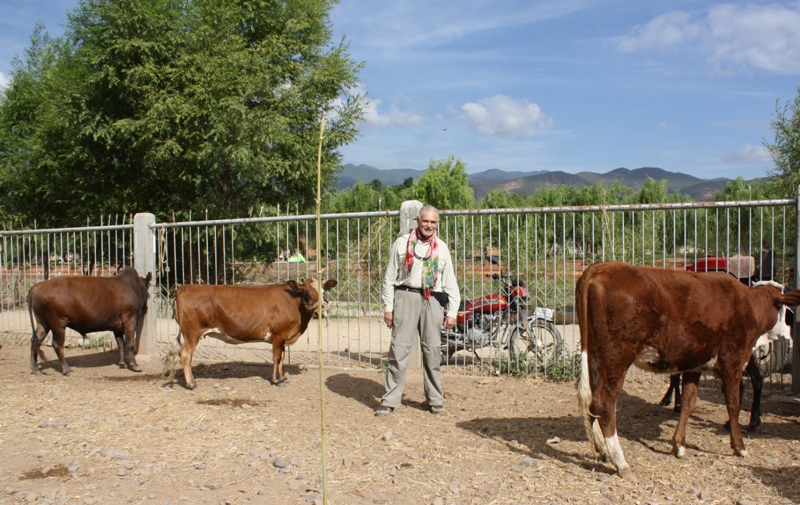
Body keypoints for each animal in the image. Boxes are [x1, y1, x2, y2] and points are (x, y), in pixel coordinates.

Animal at [162, 278, 338, 388]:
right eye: (306, 293)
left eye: (323, 293)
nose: (320, 313)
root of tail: (184, 287)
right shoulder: (278, 335)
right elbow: (277, 358)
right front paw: (277, 380)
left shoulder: (281, 338)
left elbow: (281, 358)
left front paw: (282, 376)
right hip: (192, 332)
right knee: (185, 354)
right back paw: (191, 383)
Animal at [576, 262, 800, 478]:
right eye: (784, 310)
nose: (789, 333)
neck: (749, 305)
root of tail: (599, 268)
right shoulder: (733, 360)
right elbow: (733, 404)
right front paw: (739, 446)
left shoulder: (696, 363)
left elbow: (688, 403)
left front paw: (679, 445)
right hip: (617, 357)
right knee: (604, 402)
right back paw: (621, 462)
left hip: (595, 356)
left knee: (592, 401)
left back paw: (603, 450)